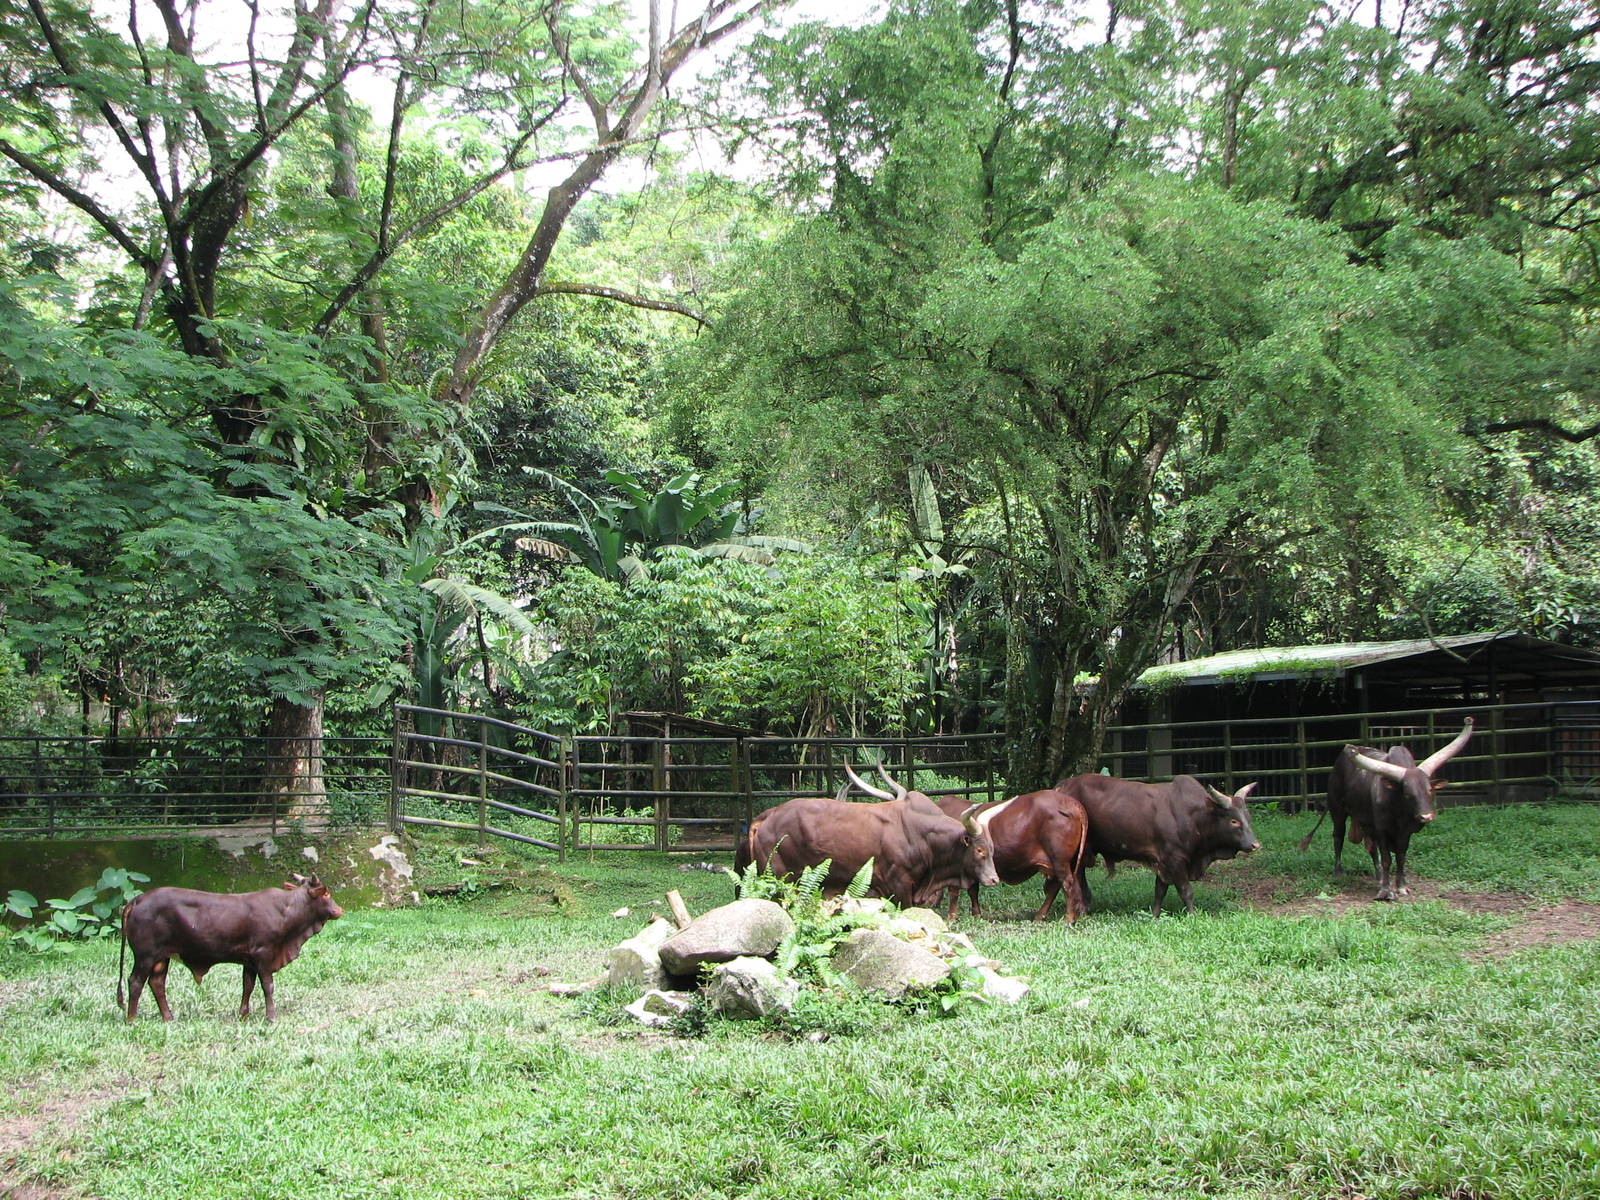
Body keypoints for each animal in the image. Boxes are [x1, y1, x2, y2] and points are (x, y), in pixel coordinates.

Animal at [118, 874, 343, 1023]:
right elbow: (267, 986)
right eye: (326, 893)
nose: (339, 910)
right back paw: (131, 1019)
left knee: (156, 983)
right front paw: (271, 1017)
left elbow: (247, 986)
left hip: (161, 957)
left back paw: (168, 1017)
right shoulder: (264, 954)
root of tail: (137, 900)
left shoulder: (249, 960)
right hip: (145, 955)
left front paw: (243, 1014)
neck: (287, 911)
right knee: (135, 981)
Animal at [735, 764, 1003, 908]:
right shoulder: (899, 887)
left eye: (992, 849)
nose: (994, 879)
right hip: (779, 882)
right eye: (979, 850)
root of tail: (765, 818)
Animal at [936, 789, 1090, 923]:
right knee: (1055, 886)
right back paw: (1040, 916)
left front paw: (951, 918)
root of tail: (1073, 803)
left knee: (1067, 884)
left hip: (1060, 860)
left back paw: (1068, 919)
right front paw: (976, 915)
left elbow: (954, 892)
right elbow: (973, 890)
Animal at [1058, 773, 1261, 916]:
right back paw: (1082, 909)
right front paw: (1193, 914)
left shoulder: (1163, 861)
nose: (1255, 845)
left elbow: (1160, 890)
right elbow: (1186, 890)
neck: (1194, 816)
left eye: (1248, 817)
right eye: (1234, 821)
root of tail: (1062, 787)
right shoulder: (1175, 859)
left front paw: (1155, 915)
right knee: (1078, 877)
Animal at [1298, 717, 1474, 901]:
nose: (1426, 816)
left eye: (1429, 790)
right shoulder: (1382, 829)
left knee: (1370, 847)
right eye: (1408, 794)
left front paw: (1401, 886)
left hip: (1366, 821)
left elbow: (1401, 856)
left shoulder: (1404, 832)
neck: (1399, 812)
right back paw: (1339, 873)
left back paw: (1379, 876)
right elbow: (1387, 859)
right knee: (1338, 837)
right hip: (1337, 810)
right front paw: (1385, 891)